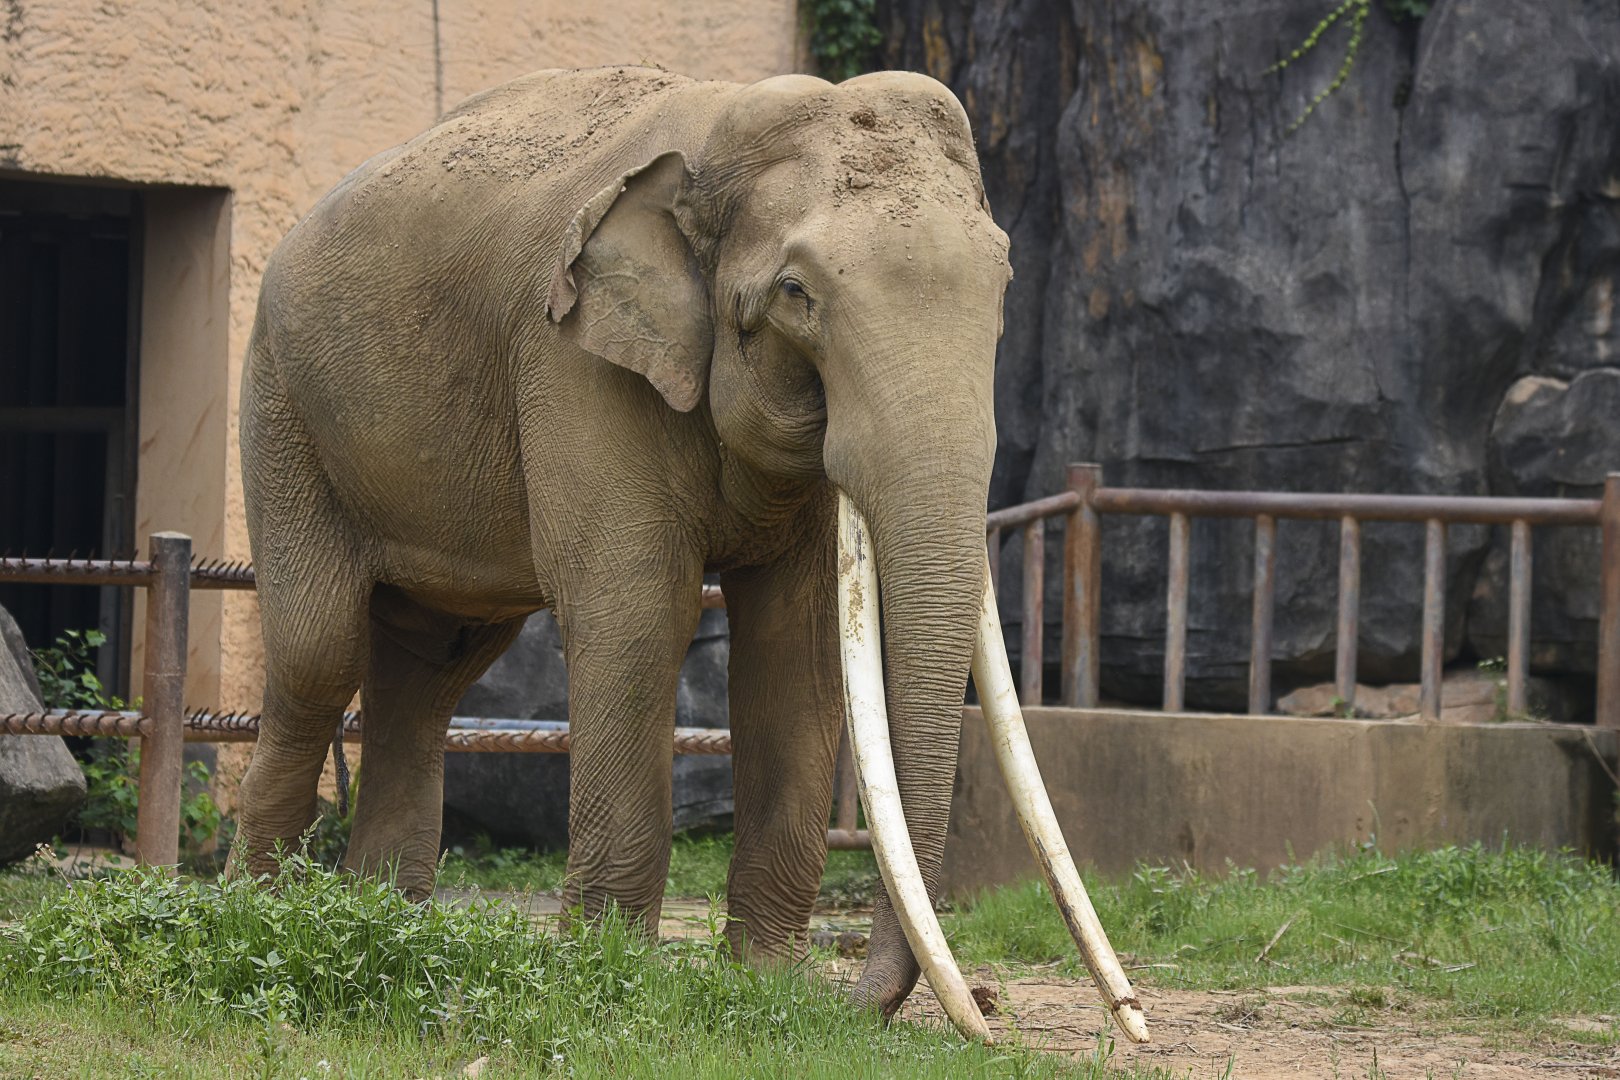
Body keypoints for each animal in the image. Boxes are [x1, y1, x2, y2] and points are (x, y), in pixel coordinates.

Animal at [233, 65, 1145, 1042]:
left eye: (1006, 285)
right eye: (797, 294)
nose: (977, 1004)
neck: (717, 131)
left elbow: (795, 641)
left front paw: (769, 983)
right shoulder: (572, 357)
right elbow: (637, 611)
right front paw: (603, 969)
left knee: (433, 664)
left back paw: (378, 918)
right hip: (281, 410)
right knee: (321, 650)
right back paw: (266, 916)